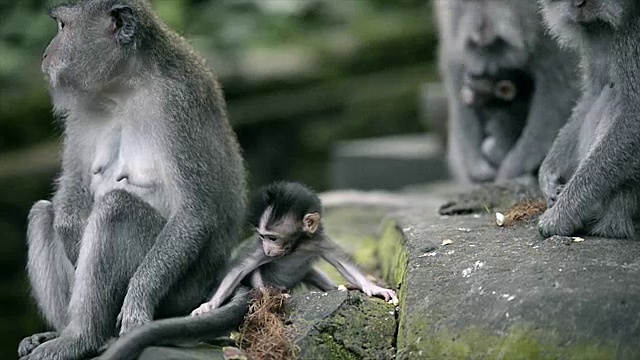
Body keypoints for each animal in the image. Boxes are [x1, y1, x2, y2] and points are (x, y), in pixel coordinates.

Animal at [18, 1, 248, 358]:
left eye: (62, 27)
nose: (46, 53)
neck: (125, 86)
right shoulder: (84, 106)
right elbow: (74, 180)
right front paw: (69, 229)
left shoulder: (176, 103)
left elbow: (194, 211)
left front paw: (138, 300)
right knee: (43, 213)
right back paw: (61, 333)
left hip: (179, 293)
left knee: (116, 208)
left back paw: (81, 337)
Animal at [192, 183, 398, 316]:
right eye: (262, 237)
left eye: (273, 238)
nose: (268, 249)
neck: (296, 246)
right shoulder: (260, 250)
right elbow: (240, 269)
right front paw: (210, 305)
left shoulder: (318, 241)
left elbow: (343, 263)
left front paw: (374, 288)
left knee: (312, 273)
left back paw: (338, 288)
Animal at [436, 0, 580, 184]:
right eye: (467, 2)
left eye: (498, 44)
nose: (481, 29)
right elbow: (455, 65)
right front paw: (477, 165)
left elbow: (558, 89)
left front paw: (512, 169)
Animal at [536, 0, 640, 240]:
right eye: (595, 29)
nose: (578, 4)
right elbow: (593, 92)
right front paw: (549, 174)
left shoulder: (633, 36)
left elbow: (634, 117)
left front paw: (561, 216)